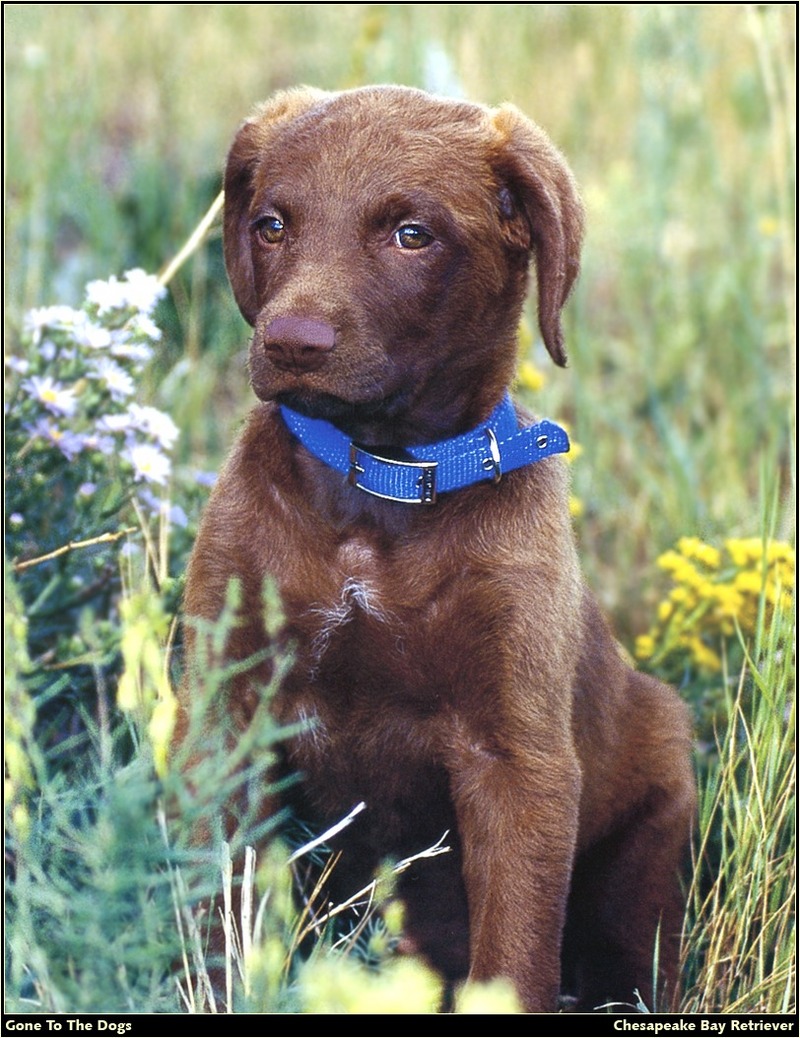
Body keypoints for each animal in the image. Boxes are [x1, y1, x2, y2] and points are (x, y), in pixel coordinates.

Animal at [179, 85, 693, 1008]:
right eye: (271, 224)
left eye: (412, 235)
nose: (290, 342)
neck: (376, 486)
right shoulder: (225, 710)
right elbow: (212, 894)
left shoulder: (517, 761)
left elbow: (515, 951)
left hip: (658, 797)